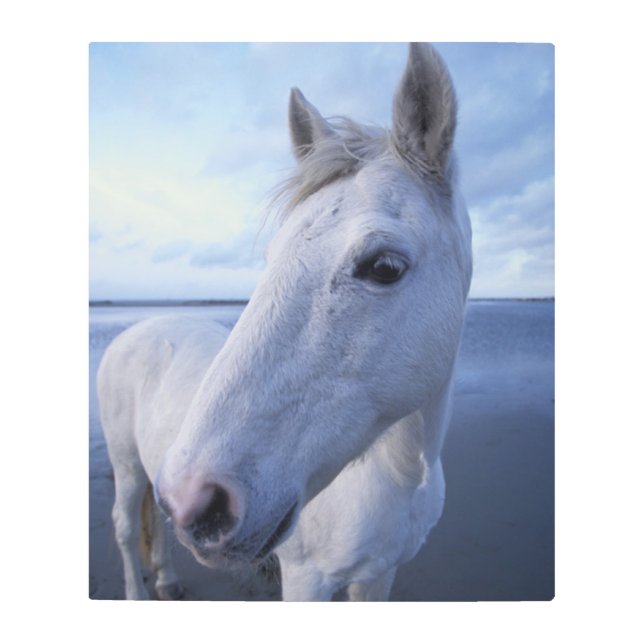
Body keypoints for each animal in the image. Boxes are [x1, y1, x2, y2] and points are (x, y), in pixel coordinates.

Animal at [97, 42, 472, 601]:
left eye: (385, 267)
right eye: (271, 256)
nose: (194, 501)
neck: (399, 474)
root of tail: (137, 330)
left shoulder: (378, 575)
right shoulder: (304, 579)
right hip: (125, 465)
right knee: (124, 528)